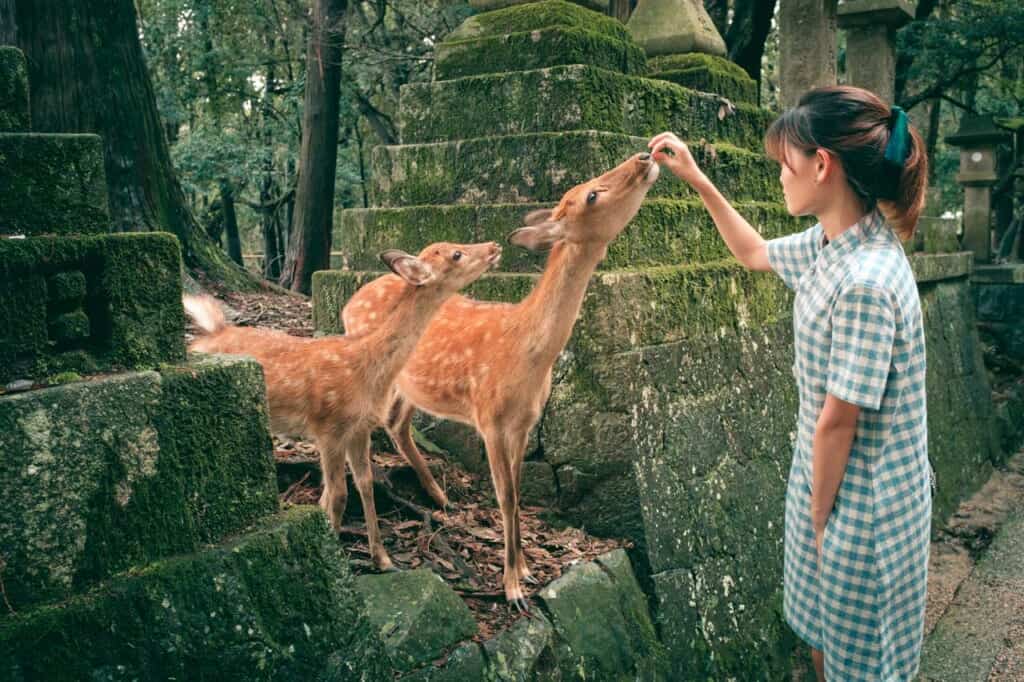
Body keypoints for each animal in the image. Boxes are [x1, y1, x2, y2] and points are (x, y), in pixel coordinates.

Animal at [187, 238, 503, 569]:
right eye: (457, 254)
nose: (493, 245)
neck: (365, 369)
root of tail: (207, 335)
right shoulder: (329, 427)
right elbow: (337, 494)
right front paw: (335, 555)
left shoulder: (359, 429)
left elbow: (363, 485)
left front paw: (382, 558)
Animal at [339, 152, 659, 606]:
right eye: (591, 195)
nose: (644, 156)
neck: (524, 355)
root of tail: (347, 302)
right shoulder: (488, 418)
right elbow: (505, 496)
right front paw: (512, 587)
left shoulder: (525, 423)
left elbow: (520, 490)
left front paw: (524, 568)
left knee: (397, 424)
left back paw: (440, 497)